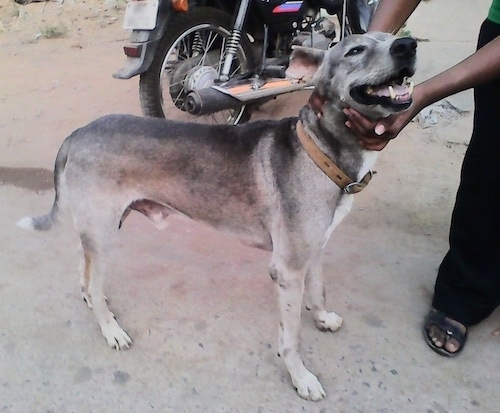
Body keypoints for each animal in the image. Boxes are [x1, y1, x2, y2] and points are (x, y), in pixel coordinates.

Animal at [17, 33, 416, 400]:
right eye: (355, 50)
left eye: (393, 39)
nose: (408, 46)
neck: (317, 148)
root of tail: (78, 133)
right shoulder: (287, 269)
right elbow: (291, 338)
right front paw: (301, 378)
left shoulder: (312, 250)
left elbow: (318, 293)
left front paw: (322, 318)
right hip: (103, 230)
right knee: (95, 284)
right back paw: (111, 329)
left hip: (99, 225)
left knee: (83, 268)